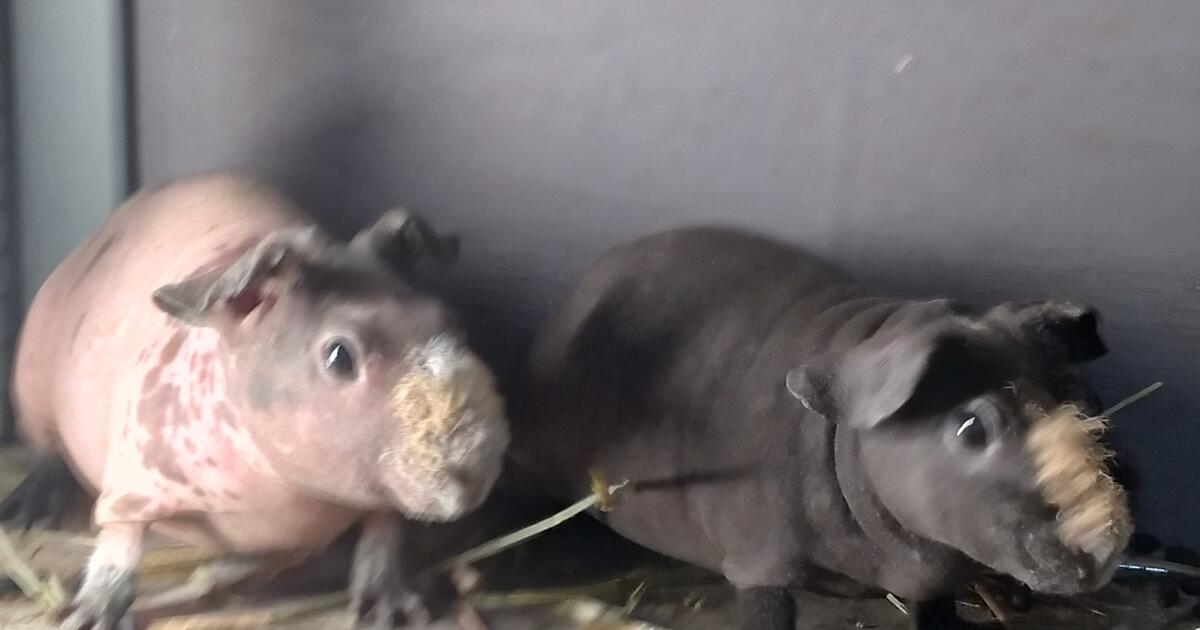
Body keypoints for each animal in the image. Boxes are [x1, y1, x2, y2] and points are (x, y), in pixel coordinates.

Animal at [5, 174, 510, 630]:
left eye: (451, 323)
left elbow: (381, 537)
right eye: (339, 355)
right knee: (49, 451)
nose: (471, 475)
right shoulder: (135, 475)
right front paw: (88, 616)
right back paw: (29, 508)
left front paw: (394, 610)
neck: (289, 494)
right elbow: (120, 543)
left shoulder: (381, 504)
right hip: (33, 392)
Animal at [515, 227, 1132, 629]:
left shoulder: (933, 581)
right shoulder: (758, 564)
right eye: (971, 428)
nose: (1104, 547)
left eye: (1086, 398)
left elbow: (936, 611)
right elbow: (768, 610)